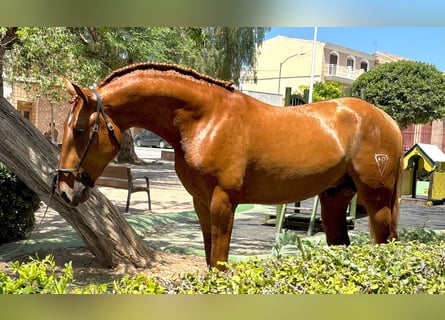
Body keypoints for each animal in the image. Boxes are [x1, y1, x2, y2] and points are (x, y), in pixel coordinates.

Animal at [56, 61, 402, 268]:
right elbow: (210, 260)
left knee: (386, 243)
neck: (206, 119)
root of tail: (389, 122)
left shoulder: (223, 202)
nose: (63, 189)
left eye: (80, 129)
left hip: (376, 199)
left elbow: (220, 264)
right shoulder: (201, 203)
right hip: (334, 198)